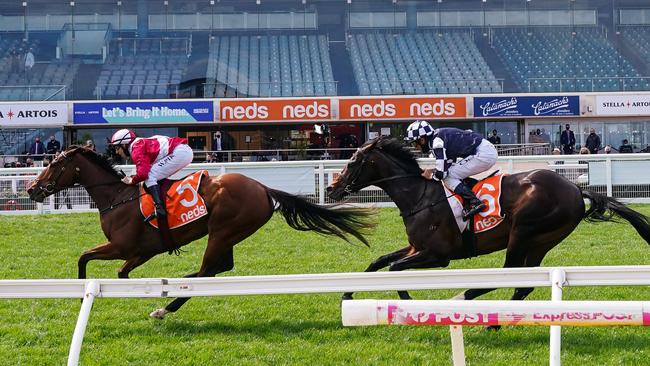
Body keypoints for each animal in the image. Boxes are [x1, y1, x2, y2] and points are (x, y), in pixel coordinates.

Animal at [29, 145, 374, 318]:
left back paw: (167, 306)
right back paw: (179, 285)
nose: (32, 188)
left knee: (209, 269)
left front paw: (80, 291)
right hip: (229, 233)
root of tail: (262, 187)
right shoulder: (140, 252)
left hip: (221, 231)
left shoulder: (124, 248)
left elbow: (88, 259)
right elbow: (114, 270)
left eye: (54, 164)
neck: (117, 197)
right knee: (221, 267)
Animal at [326, 137, 648, 324]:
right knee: (523, 284)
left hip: (523, 232)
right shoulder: (416, 247)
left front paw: (408, 305)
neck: (419, 196)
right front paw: (348, 294)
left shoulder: (437, 255)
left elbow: (394, 269)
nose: (331, 188)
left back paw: (471, 306)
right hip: (541, 242)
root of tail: (576, 188)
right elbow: (378, 262)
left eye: (352, 162)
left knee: (507, 276)